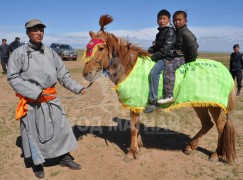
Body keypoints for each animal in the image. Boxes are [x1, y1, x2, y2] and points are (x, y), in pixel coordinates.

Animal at [82, 14, 236, 164]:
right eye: (87, 48)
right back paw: (190, 147)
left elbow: (133, 129)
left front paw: (131, 153)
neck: (130, 68)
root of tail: (225, 71)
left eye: (101, 48)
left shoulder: (134, 103)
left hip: (214, 106)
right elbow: (137, 127)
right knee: (207, 124)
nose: (86, 74)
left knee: (220, 126)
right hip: (199, 103)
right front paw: (139, 147)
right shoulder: (136, 105)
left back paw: (215, 154)